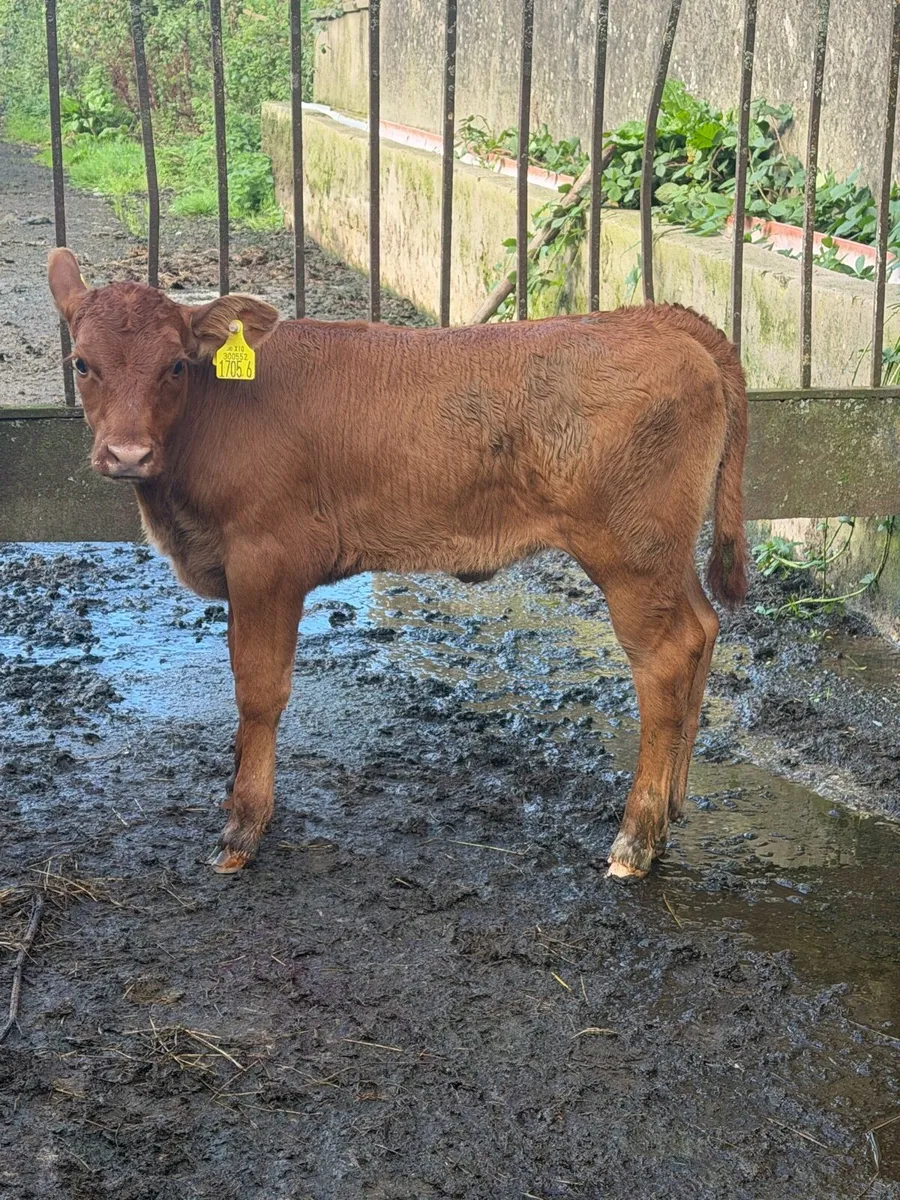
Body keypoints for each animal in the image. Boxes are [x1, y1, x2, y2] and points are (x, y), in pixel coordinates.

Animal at [48, 247, 748, 880]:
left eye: (173, 364)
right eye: (82, 363)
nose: (128, 453)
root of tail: (656, 319)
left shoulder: (267, 561)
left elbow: (259, 690)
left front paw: (243, 826)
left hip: (631, 553)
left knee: (664, 660)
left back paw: (636, 839)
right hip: (665, 554)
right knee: (703, 629)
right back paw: (672, 810)